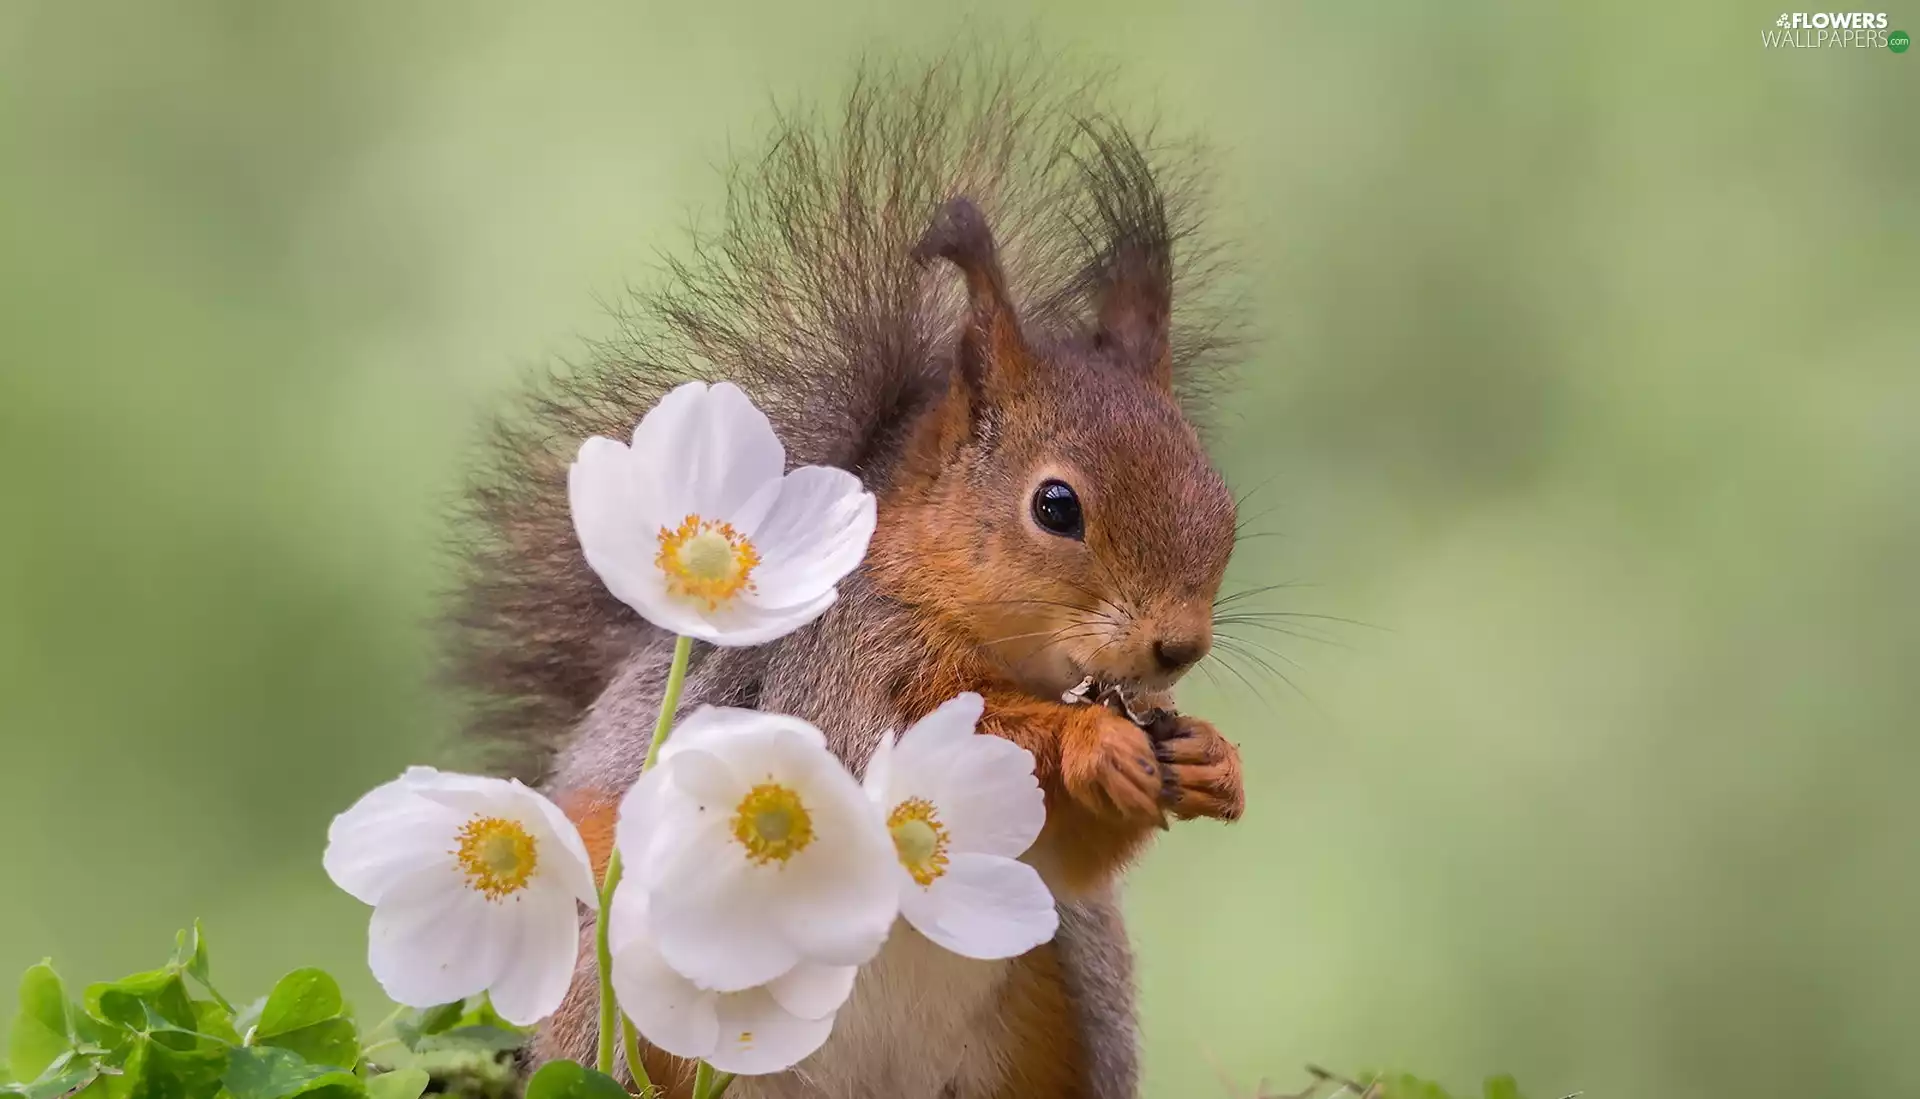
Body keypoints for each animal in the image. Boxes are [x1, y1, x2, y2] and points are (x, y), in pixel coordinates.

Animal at [448, 55, 1246, 1099]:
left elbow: (1064, 854)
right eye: (1056, 506)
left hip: (1070, 995)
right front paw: (1092, 742)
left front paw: (1208, 757)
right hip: (619, 994)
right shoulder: (840, 674)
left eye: (1224, 499)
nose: (1178, 646)